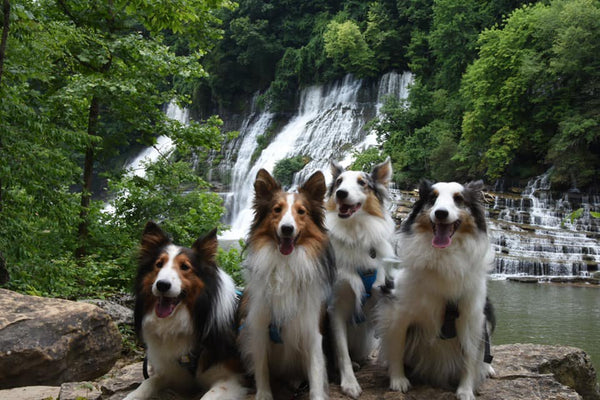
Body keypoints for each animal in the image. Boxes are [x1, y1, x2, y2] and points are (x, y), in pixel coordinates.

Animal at [126, 222, 246, 400]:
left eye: (184, 267)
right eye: (159, 264)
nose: (162, 285)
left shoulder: (232, 379)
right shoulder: (173, 373)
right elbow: (148, 382)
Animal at [240, 170, 338, 400]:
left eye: (301, 212)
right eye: (277, 209)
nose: (287, 229)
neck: (285, 264)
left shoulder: (312, 329)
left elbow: (316, 373)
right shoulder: (259, 326)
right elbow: (261, 367)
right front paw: (264, 395)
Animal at [324, 159, 398, 396]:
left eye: (362, 183)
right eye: (339, 182)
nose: (340, 193)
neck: (355, 234)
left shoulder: (382, 296)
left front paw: (397, 376)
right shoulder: (335, 306)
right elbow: (342, 352)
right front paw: (349, 383)